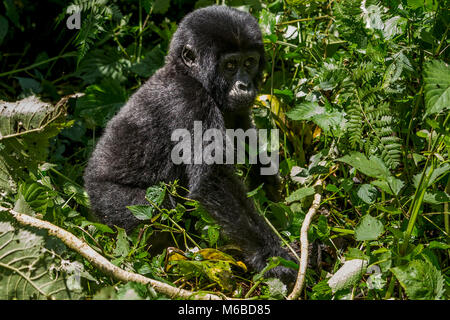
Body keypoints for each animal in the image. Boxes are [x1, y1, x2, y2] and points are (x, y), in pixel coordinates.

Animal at [84, 5, 298, 282]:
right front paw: (273, 258)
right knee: (156, 209)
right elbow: (214, 179)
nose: (244, 85)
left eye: (249, 63)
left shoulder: (236, 108)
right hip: (108, 200)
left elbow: (250, 153)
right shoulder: (190, 100)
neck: (186, 73)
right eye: (230, 65)